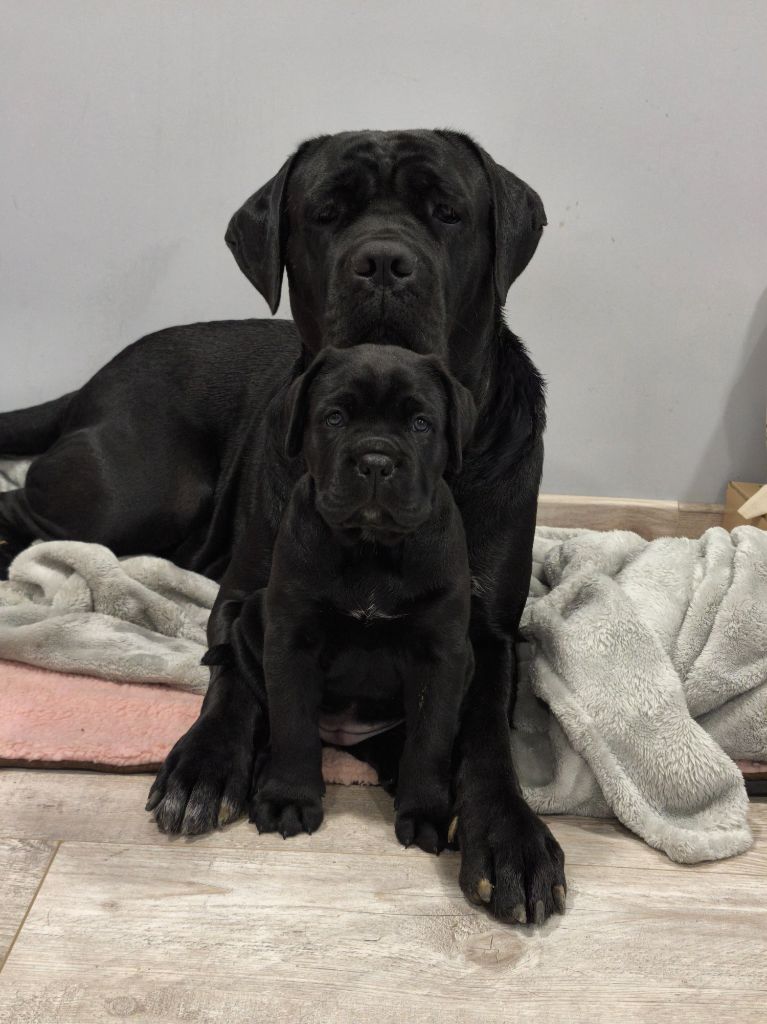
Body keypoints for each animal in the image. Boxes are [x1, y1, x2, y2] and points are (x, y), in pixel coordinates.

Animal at [232, 344, 476, 854]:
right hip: (249, 625)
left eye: (421, 424)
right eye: (335, 417)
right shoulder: (290, 642)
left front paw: (426, 810)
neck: (370, 549)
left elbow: (430, 737)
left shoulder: (442, 654)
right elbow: (292, 725)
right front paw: (289, 798)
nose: (376, 459)